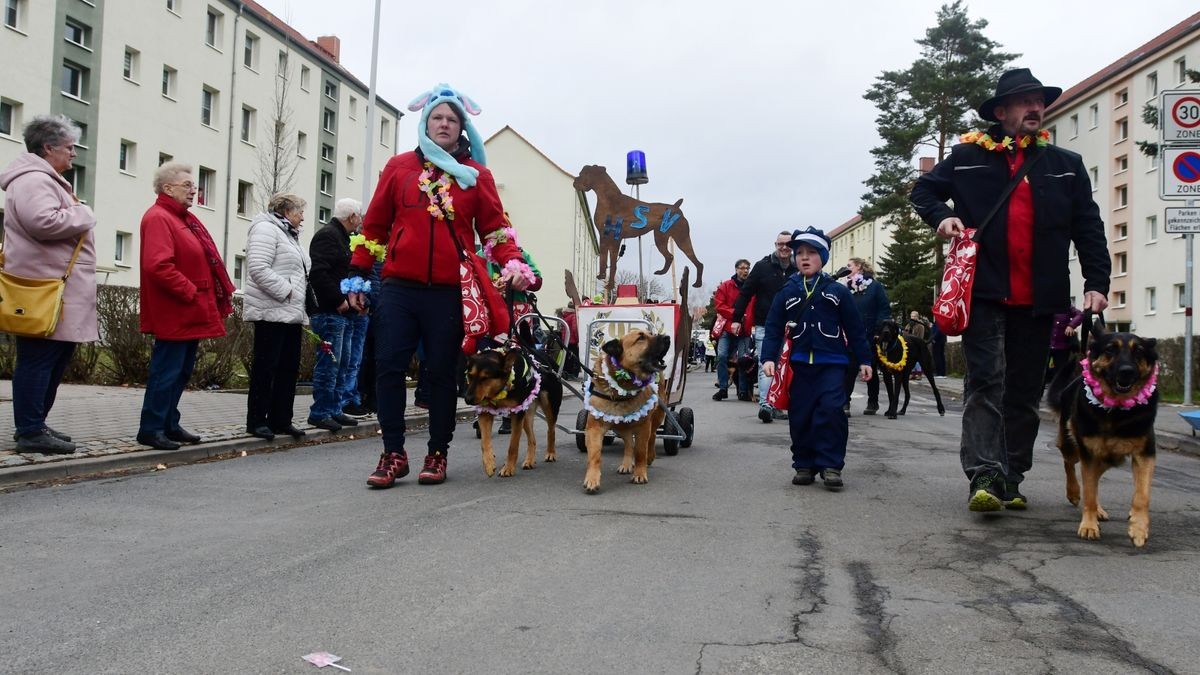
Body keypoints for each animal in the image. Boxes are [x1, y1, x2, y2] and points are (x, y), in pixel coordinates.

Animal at [583, 329, 672, 492]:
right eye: (640, 338)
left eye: (651, 333)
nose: (667, 337)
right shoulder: (594, 428)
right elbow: (595, 455)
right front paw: (592, 478)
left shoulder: (643, 427)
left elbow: (641, 451)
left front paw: (640, 473)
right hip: (620, 425)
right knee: (629, 442)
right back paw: (626, 464)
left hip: (656, 416)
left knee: (652, 436)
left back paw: (650, 456)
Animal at [1046, 319, 1156, 547]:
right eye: (1110, 350)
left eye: (1139, 352)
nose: (1126, 371)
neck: (1117, 412)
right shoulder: (1089, 453)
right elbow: (1089, 492)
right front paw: (1088, 526)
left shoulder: (1145, 455)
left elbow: (1142, 495)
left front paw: (1138, 529)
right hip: (1076, 448)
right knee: (1070, 464)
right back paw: (1074, 493)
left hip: (1109, 458)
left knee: (1095, 478)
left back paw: (1099, 510)